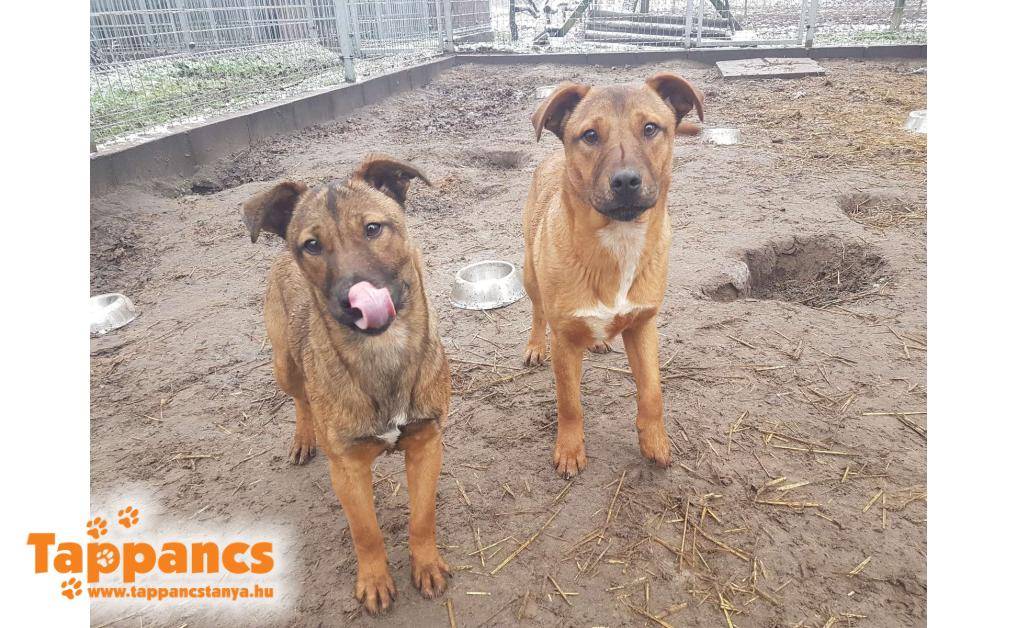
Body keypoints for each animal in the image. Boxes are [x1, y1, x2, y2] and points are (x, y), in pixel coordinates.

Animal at [242, 155, 451, 613]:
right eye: (312, 245)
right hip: (284, 366)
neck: (381, 355)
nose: (355, 301)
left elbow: (422, 517)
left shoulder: (427, 444)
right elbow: (366, 532)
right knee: (301, 400)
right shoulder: (348, 470)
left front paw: (426, 565)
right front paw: (374, 581)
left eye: (372, 228)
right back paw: (304, 438)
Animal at [521, 73, 704, 478]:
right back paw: (535, 345)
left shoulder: (643, 326)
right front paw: (570, 450)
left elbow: (652, 392)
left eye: (651, 128)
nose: (625, 181)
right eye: (590, 135)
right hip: (529, 274)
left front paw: (654, 442)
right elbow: (569, 403)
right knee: (538, 311)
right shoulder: (564, 339)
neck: (618, 242)